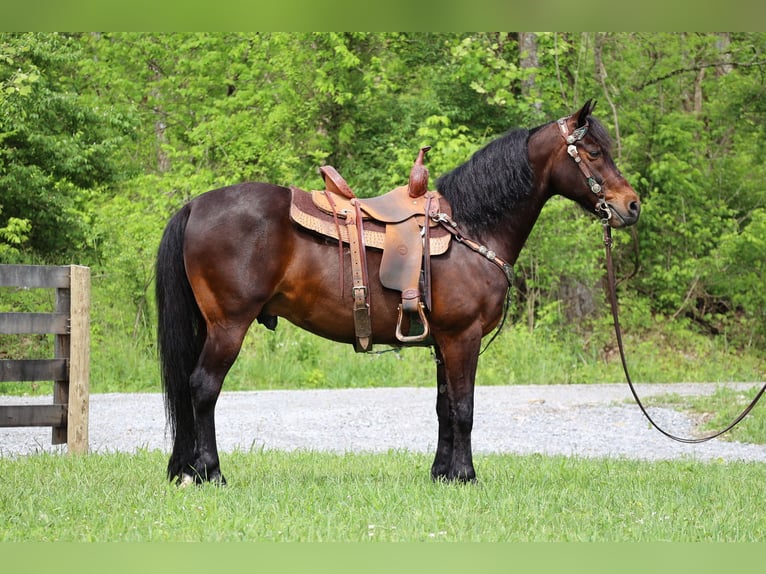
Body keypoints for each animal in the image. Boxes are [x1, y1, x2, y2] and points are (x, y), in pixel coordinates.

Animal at [156, 100, 640, 486]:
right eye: (594, 153)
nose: (632, 205)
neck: (472, 227)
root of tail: (194, 205)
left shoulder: (444, 341)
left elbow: (445, 407)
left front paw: (442, 474)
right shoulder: (463, 338)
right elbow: (464, 408)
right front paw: (466, 475)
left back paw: (186, 469)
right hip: (229, 325)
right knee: (203, 387)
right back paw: (210, 472)